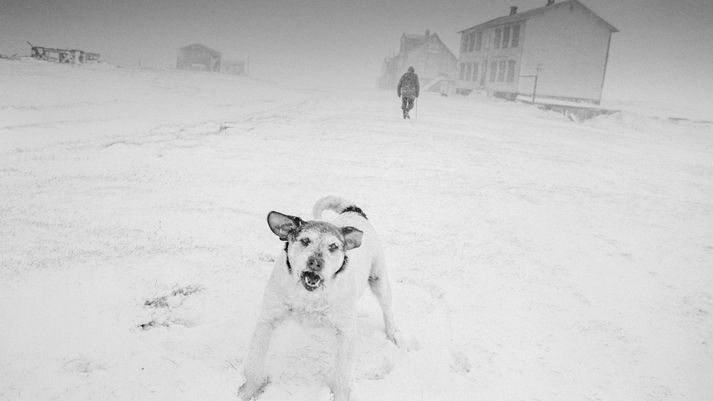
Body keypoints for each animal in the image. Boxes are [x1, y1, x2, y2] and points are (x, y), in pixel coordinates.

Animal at [239, 195, 400, 398]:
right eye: (305, 240)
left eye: (333, 246)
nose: (316, 262)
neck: (310, 298)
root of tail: (353, 211)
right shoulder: (267, 319)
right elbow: (254, 362)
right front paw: (248, 391)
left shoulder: (346, 331)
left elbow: (341, 376)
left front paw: (340, 396)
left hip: (379, 279)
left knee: (387, 309)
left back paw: (393, 335)